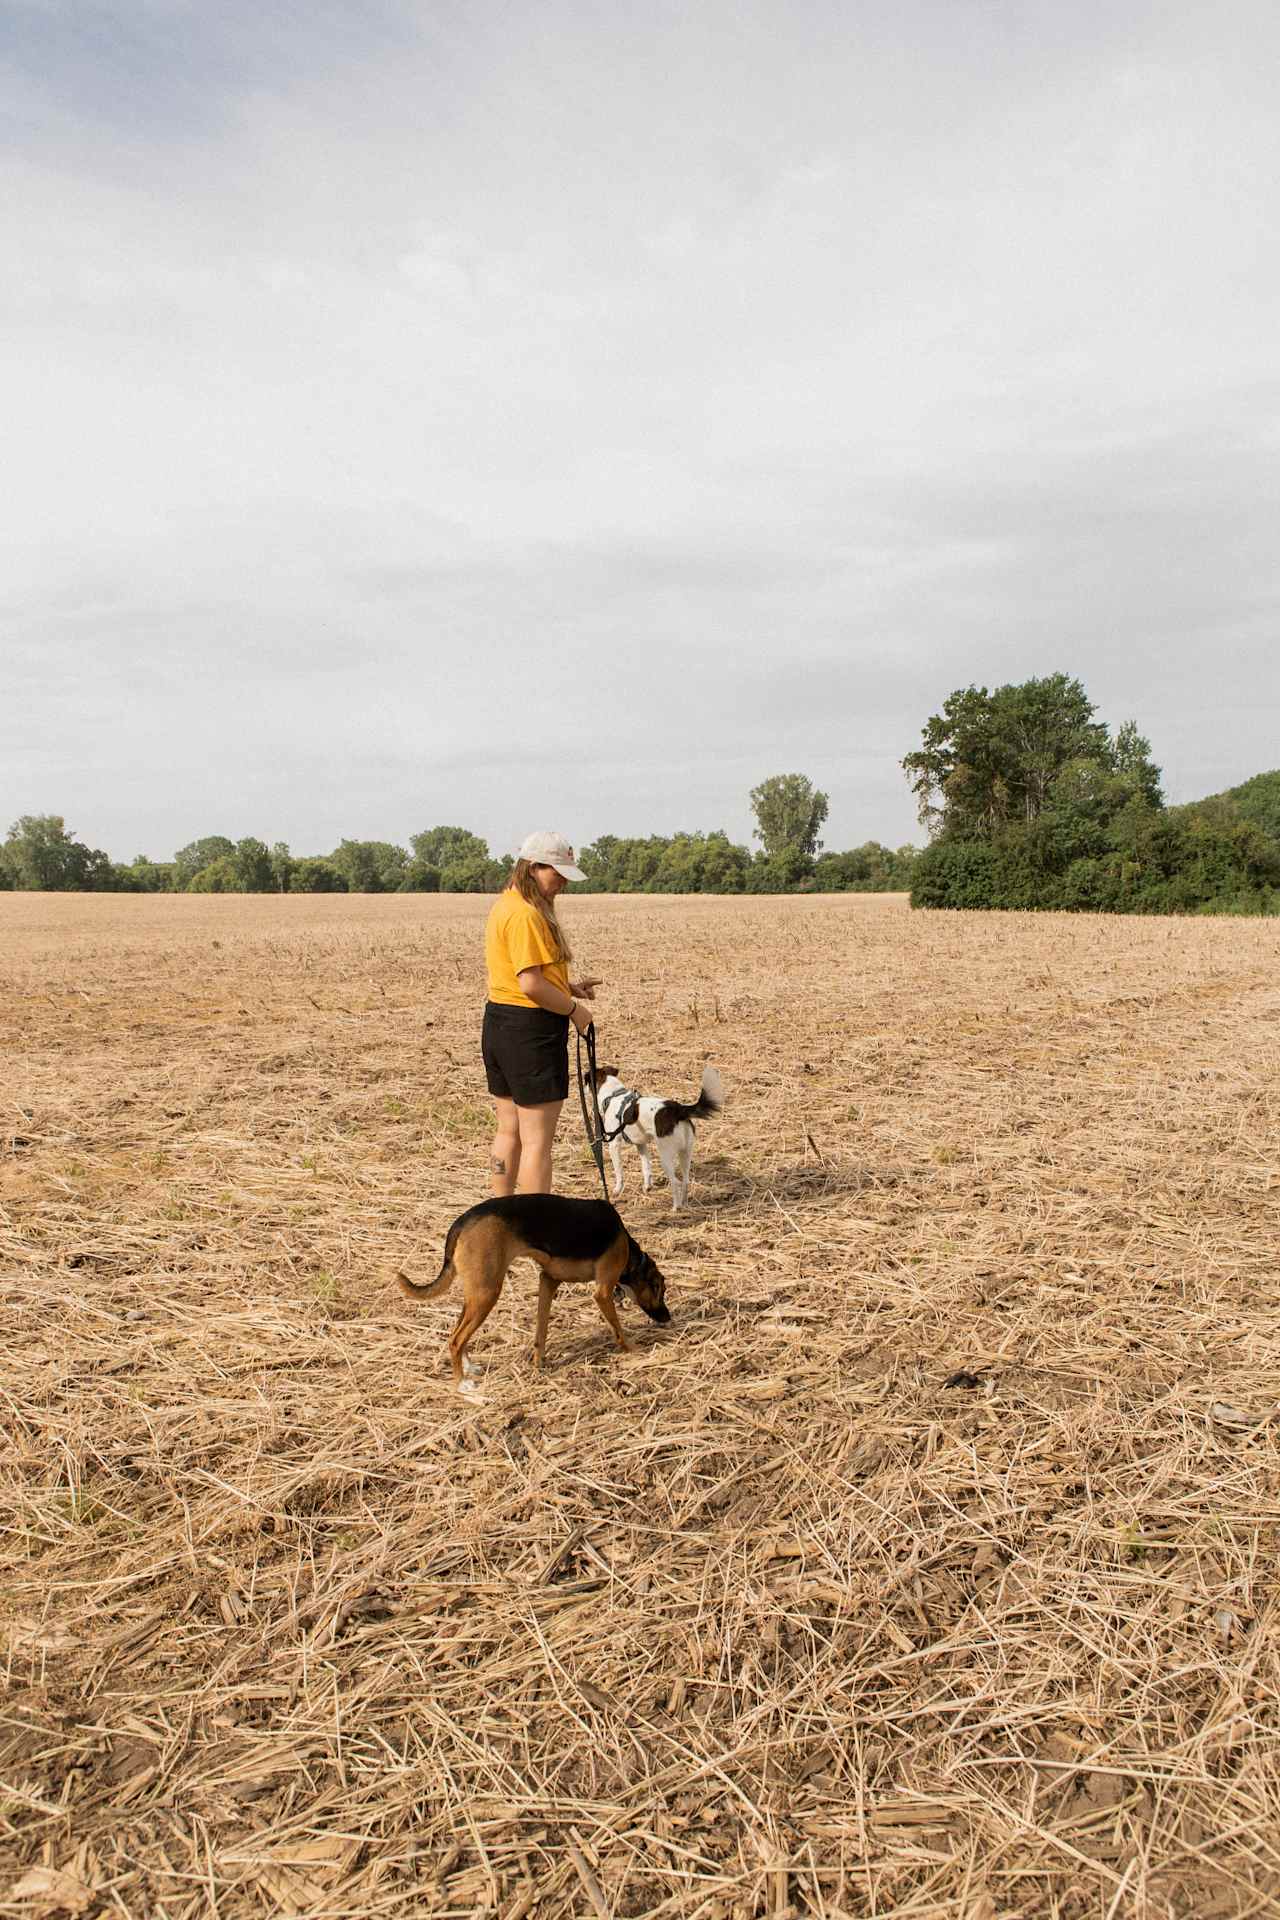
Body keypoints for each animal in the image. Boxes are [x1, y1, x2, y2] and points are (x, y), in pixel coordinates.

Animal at [397, 1190, 675, 1390]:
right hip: (487, 1294)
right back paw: (462, 1383)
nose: (668, 1317)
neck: (630, 1252)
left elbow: (541, 1329)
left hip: (476, 1294)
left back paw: (469, 1367)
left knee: (457, 1332)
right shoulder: (602, 1292)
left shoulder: (548, 1280)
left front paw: (538, 1363)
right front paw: (634, 1349)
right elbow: (618, 1329)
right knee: (455, 1339)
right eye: (660, 1290)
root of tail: (462, 1222)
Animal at [587, 1059, 725, 1205]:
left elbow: (619, 1172)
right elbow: (646, 1167)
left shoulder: (614, 1144)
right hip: (686, 1152)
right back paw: (684, 1204)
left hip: (666, 1156)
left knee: (676, 1182)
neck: (614, 1096)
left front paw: (617, 1190)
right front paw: (647, 1187)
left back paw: (676, 1207)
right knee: (685, 1181)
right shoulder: (641, 1144)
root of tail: (679, 1110)